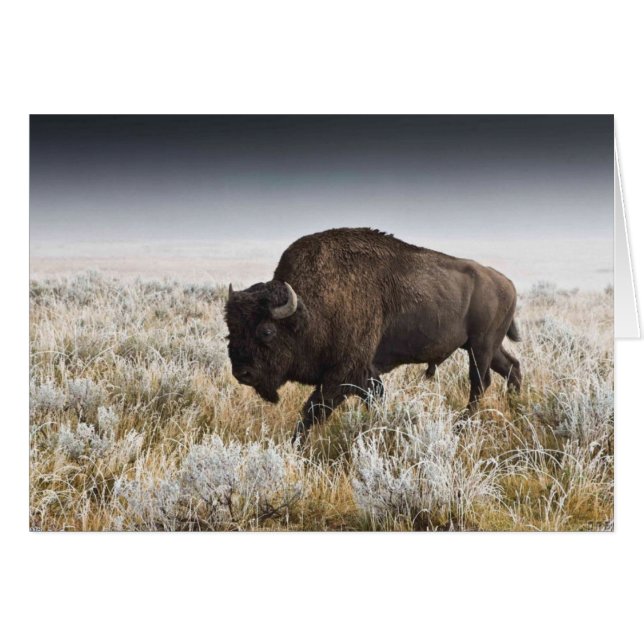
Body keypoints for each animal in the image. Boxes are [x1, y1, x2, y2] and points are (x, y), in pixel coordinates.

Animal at [225, 227, 521, 443]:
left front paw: (295, 445)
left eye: (266, 331)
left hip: (481, 346)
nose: (242, 373)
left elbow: (313, 411)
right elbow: (372, 400)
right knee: (512, 367)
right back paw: (516, 409)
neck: (310, 309)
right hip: (484, 346)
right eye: (230, 330)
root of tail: (507, 283)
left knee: (480, 382)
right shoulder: (365, 375)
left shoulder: (342, 375)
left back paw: (461, 427)